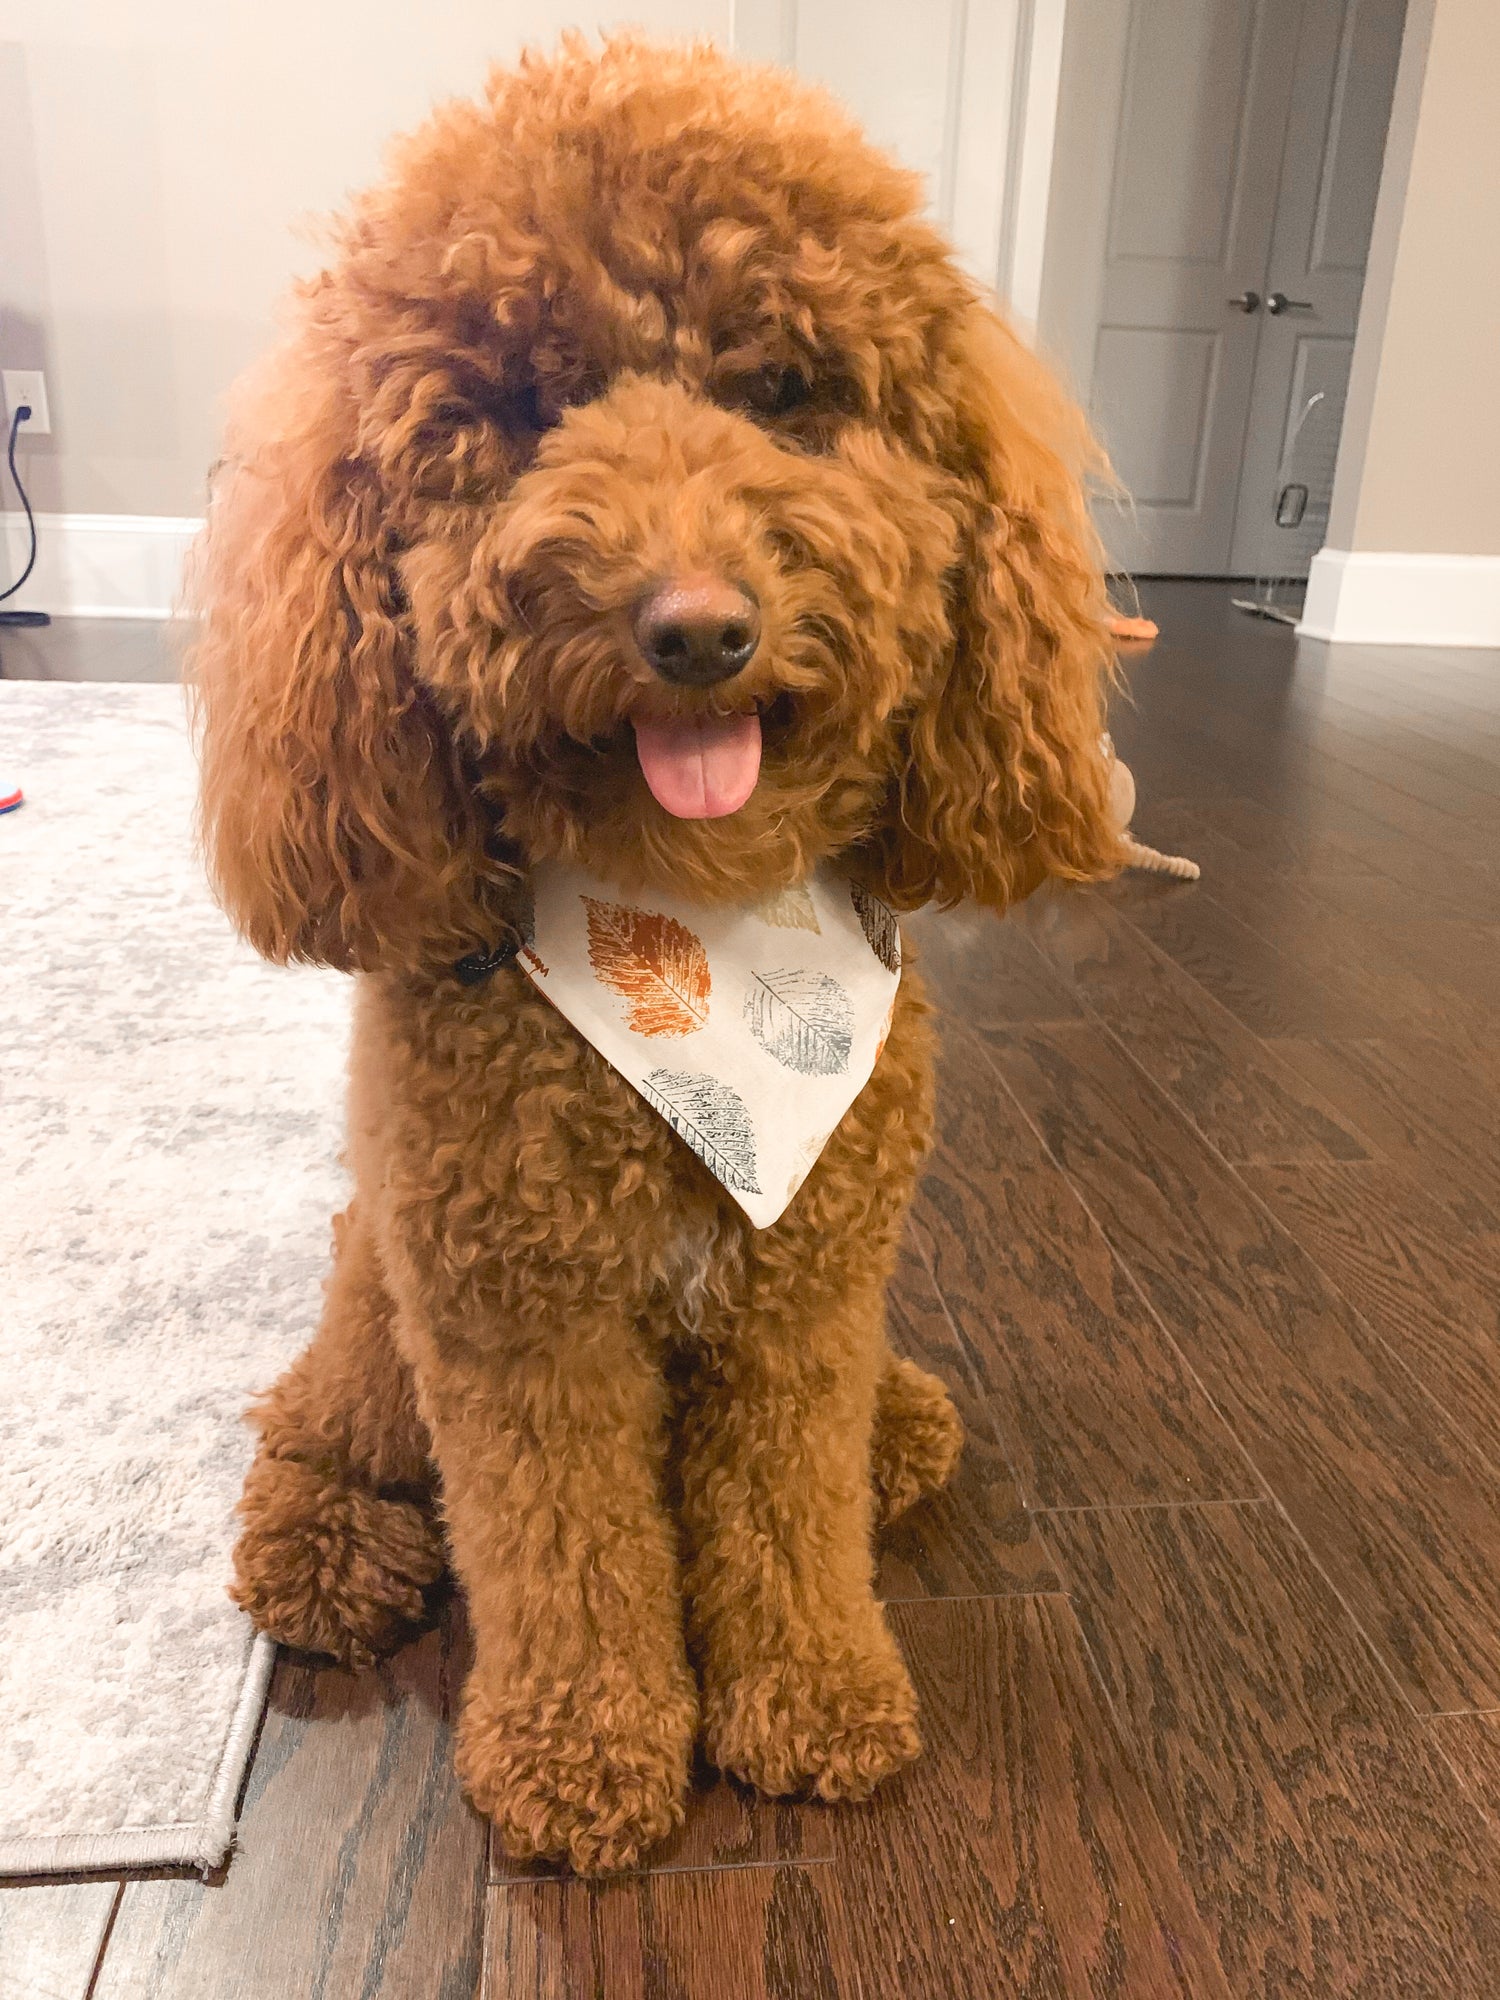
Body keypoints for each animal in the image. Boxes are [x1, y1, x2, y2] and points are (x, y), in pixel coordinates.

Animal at [191, 35, 1120, 1872]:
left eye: (787, 389)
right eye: (521, 409)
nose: (696, 630)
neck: (694, 947)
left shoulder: (806, 1287)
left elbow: (786, 1509)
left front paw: (816, 1697)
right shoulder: (518, 1318)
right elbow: (564, 1549)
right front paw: (582, 1758)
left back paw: (902, 1427)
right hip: (382, 1290)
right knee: (322, 1428)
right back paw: (327, 1554)